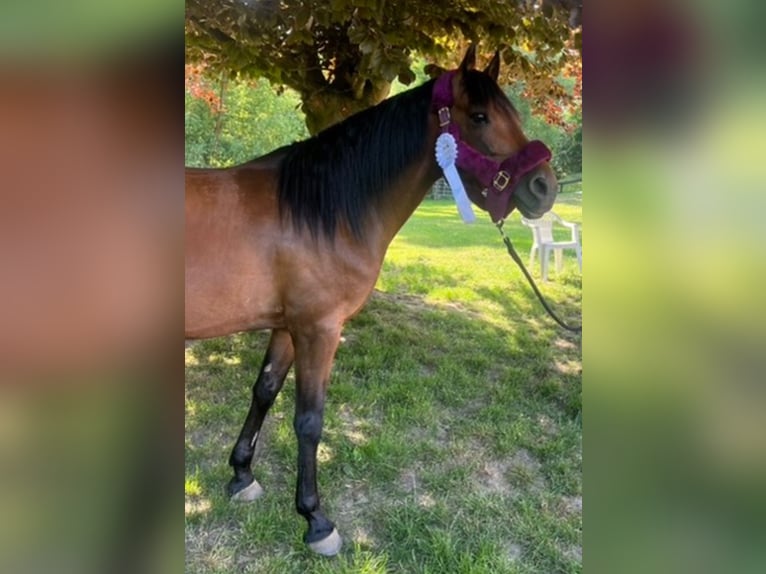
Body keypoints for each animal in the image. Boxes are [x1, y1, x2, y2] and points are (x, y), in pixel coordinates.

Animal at [185, 45, 558, 556]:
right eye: (480, 116)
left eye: (514, 114)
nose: (545, 187)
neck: (320, 211)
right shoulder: (319, 328)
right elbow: (309, 420)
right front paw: (316, 520)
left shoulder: (287, 325)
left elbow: (264, 390)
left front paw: (242, 475)